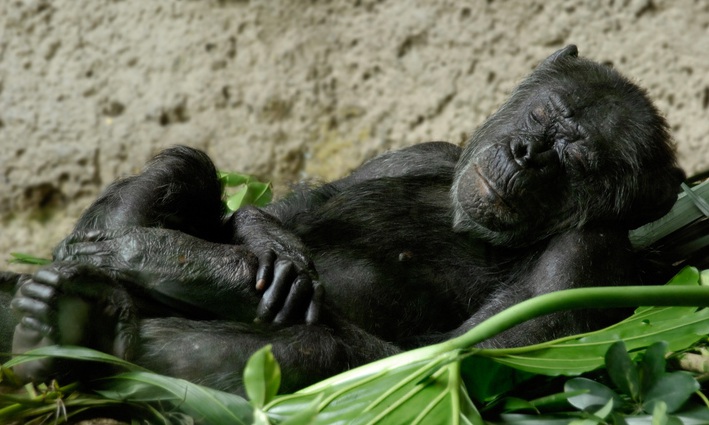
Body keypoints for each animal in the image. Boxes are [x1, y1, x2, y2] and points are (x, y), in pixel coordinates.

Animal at [1, 44, 684, 392]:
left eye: (577, 158)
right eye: (543, 115)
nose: (527, 153)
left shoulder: (586, 259)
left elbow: (443, 360)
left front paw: (176, 263)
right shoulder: (417, 153)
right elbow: (282, 211)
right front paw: (259, 248)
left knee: (321, 349)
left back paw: (74, 324)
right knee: (186, 165)